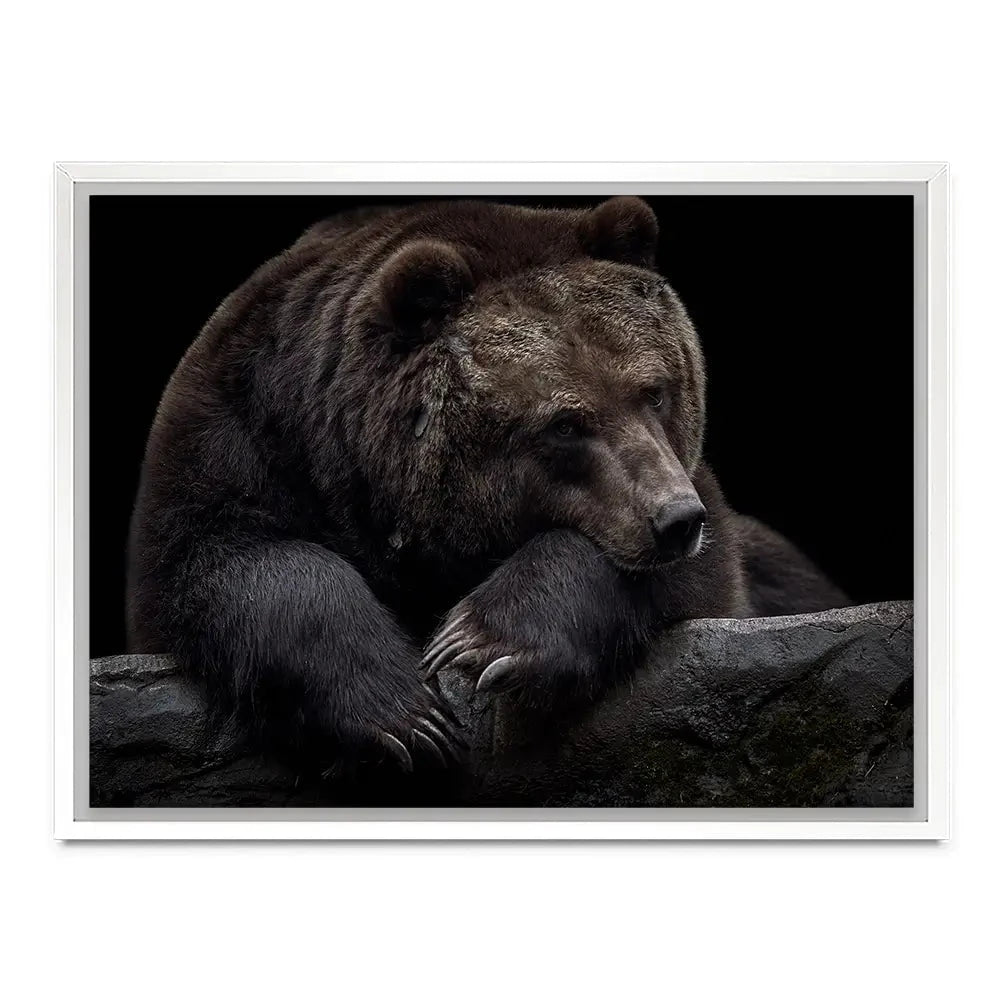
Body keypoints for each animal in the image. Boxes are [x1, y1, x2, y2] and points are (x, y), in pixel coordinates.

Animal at [126, 196, 848, 771]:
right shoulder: (241, 431)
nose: (674, 520)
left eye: (655, 390)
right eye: (565, 423)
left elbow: (685, 575)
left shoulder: (698, 507)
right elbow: (223, 559)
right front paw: (405, 715)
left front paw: (481, 642)